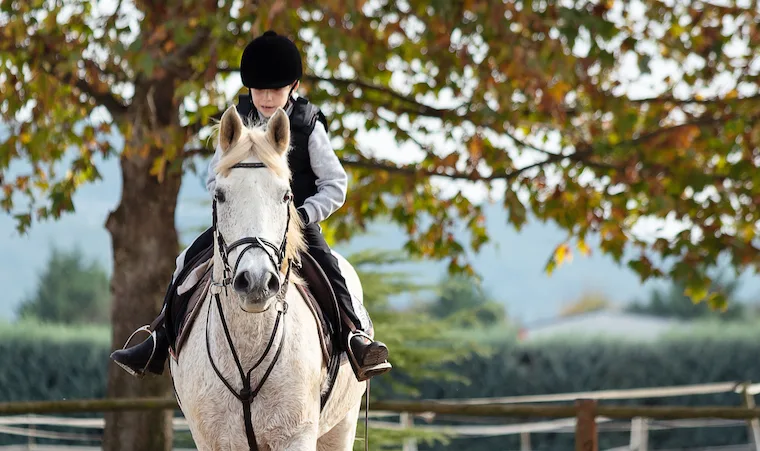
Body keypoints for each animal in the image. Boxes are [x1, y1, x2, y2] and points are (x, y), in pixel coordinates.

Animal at [168, 105, 368, 448]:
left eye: (286, 196)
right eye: (220, 195)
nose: (256, 281)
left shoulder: (296, 436)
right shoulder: (214, 440)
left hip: (342, 425)